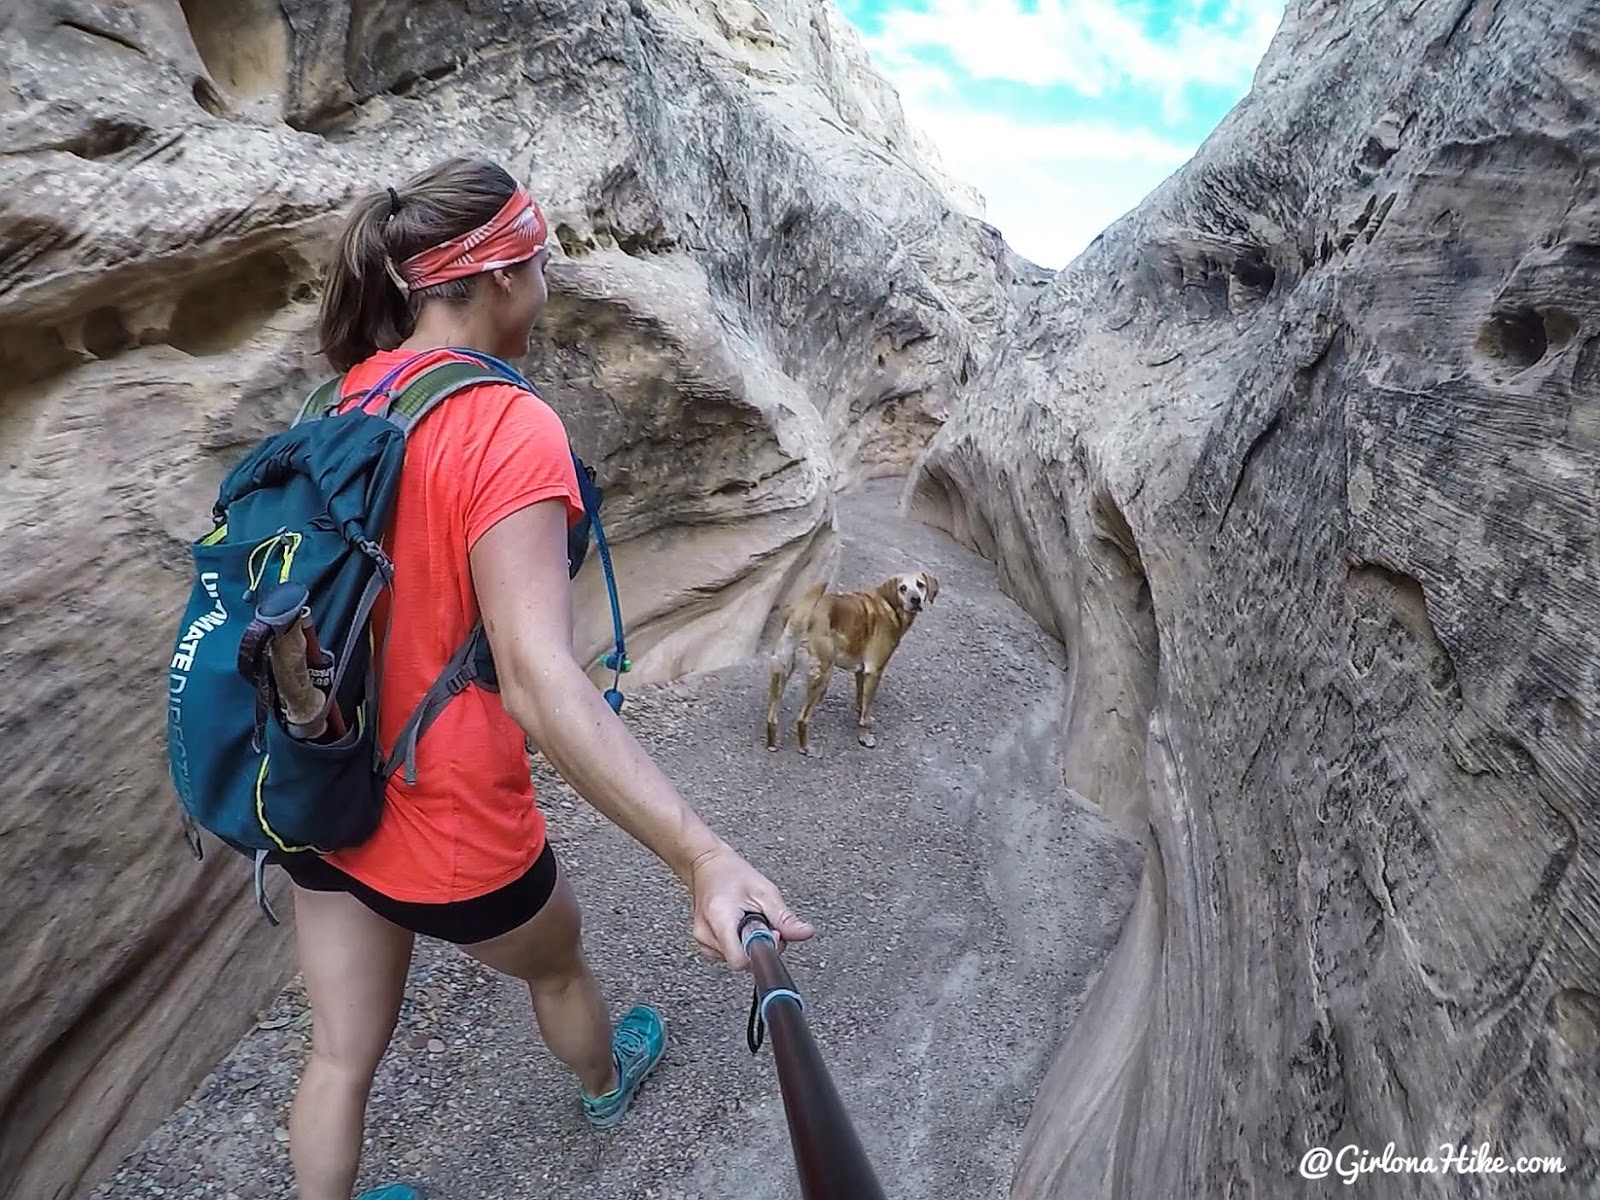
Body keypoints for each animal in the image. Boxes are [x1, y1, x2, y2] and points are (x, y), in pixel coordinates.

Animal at [764, 569, 934, 755]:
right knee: (802, 719)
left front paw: (860, 715)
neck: (888, 604)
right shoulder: (874, 671)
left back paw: (772, 744)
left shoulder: (861, 671)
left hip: (780, 672)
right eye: (902, 588)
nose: (915, 599)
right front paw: (865, 737)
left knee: (771, 717)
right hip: (822, 677)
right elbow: (866, 712)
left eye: (920, 585)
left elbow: (861, 701)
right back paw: (806, 748)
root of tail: (799, 613)